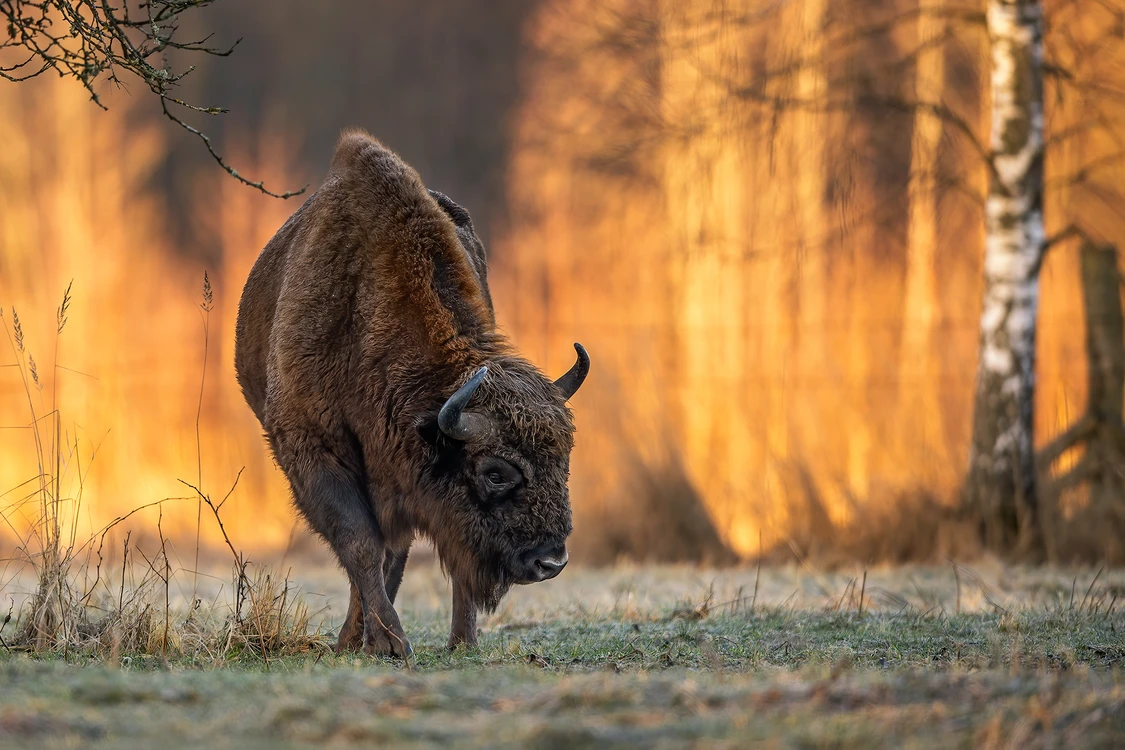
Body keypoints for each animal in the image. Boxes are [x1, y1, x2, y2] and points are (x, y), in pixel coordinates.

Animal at [234, 130, 594, 656]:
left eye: (564, 460)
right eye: (495, 473)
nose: (550, 562)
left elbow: (391, 553)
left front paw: (408, 640)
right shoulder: (314, 448)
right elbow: (361, 544)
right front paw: (388, 642)